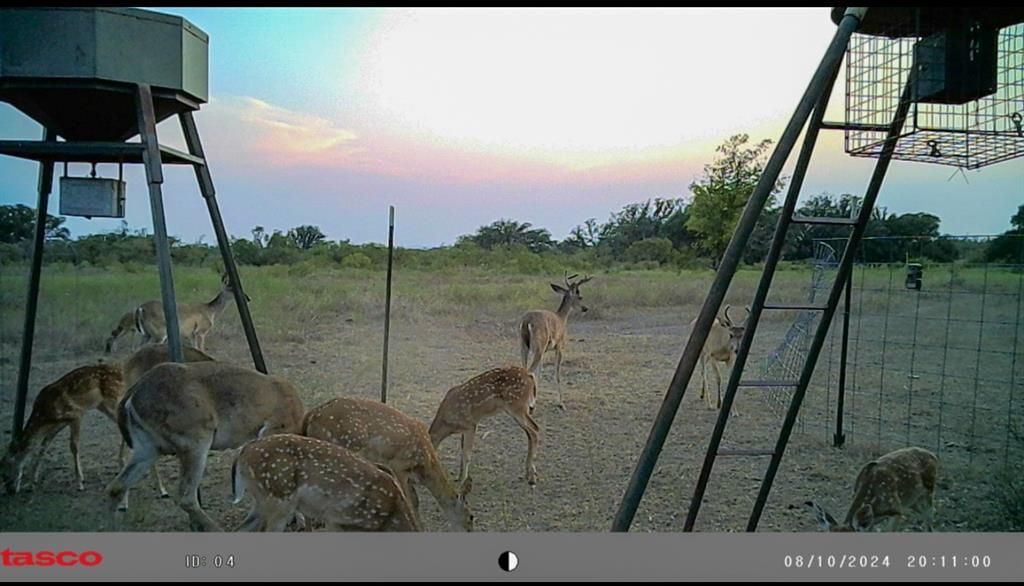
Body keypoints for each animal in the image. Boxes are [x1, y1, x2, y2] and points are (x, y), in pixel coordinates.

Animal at [106, 362, 303, 532]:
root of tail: (131, 397)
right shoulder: (274, 429)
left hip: (147, 447)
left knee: (116, 486)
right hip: (195, 439)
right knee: (186, 496)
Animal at [303, 397, 475, 532]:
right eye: (471, 517)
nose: (469, 531)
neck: (425, 466)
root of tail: (311, 416)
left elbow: (415, 500)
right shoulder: (398, 464)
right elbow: (409, 500)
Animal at [520, 272, 593, 409]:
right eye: (580, 296)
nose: (585, 308)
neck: (561, 318)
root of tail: (527, 322)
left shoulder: (545, 351)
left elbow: (540, 373)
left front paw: (537, 398)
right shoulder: (559, 346)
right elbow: (556, 373)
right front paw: (561, 403)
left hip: (524, 346)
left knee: (524, 368)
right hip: (538, 346)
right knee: (530, 370)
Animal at [794, 446, 937, 532]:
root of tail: (933, 454)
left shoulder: (896, 510)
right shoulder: (871, 521)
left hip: (928, 493)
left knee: (929, 520)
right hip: (913, 501)